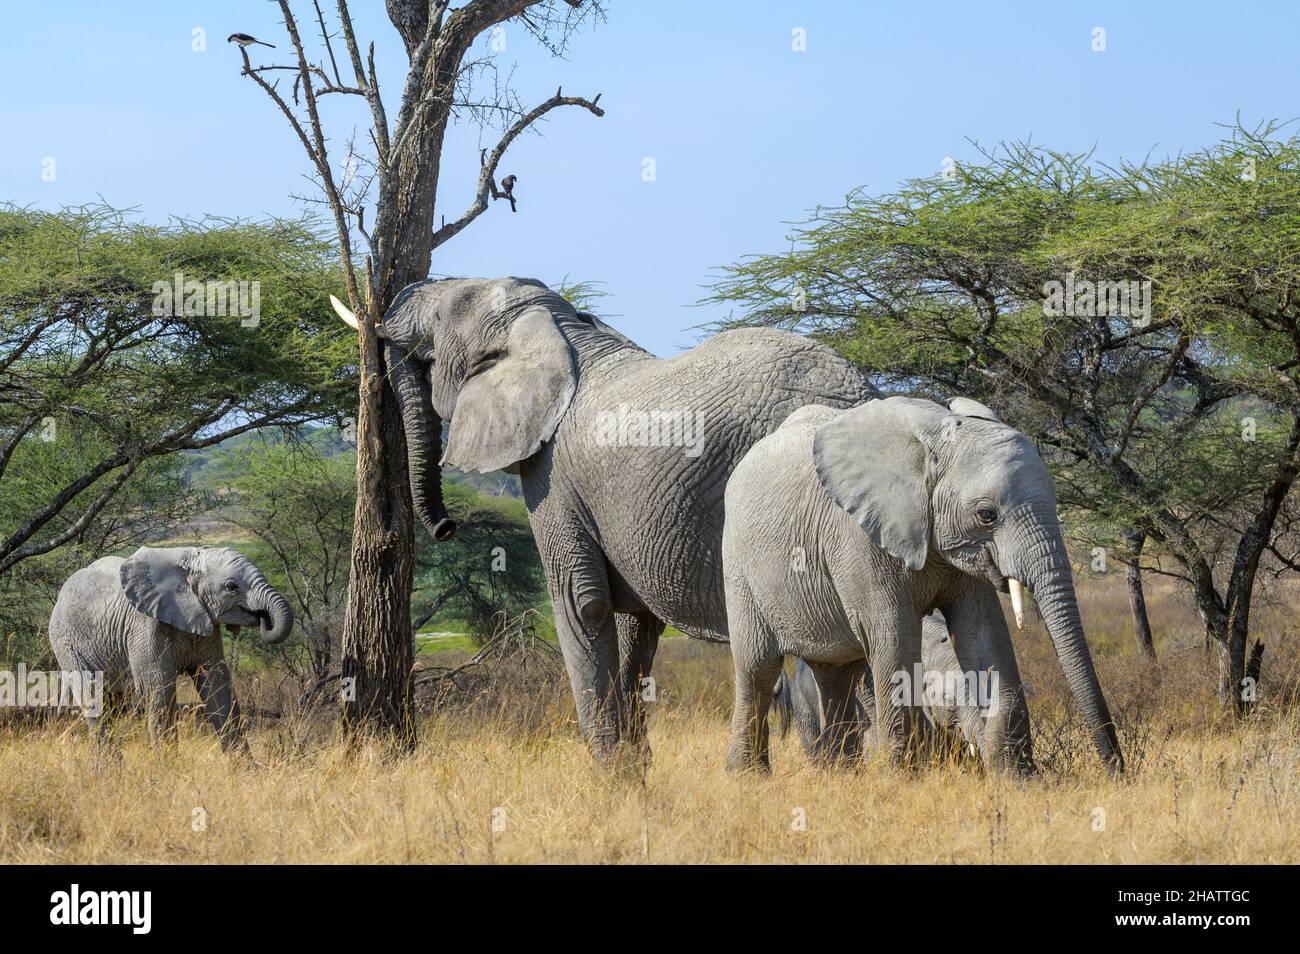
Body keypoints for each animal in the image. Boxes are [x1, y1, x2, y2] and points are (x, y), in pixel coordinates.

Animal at [49, 545, 293, 748]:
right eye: (231, 587)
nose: (264, 618)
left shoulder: (205, 624)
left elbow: (217, 685)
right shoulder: (145, 626)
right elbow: (159, 689)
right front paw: (164, 766)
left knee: (114, 702)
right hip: (65, 642)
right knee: (93, 696)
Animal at [327, 276, 873, 753]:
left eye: (439, 322)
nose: (446, 527)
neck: (557, 327)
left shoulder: (553, 477)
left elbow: (581, 603)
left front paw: (615, 779)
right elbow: (635, 622)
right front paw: (635, 768)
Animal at [722, 395, 1118, 779]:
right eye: (986, 514)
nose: (1117, 771)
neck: (934, 443)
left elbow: (984, 632)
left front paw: (1018, 780)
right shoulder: (860, 539)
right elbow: (894, 635)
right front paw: (901, 780)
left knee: (834, 672)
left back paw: (840, 775)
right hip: (737, 564)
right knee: (758, 668)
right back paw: (748, 776)